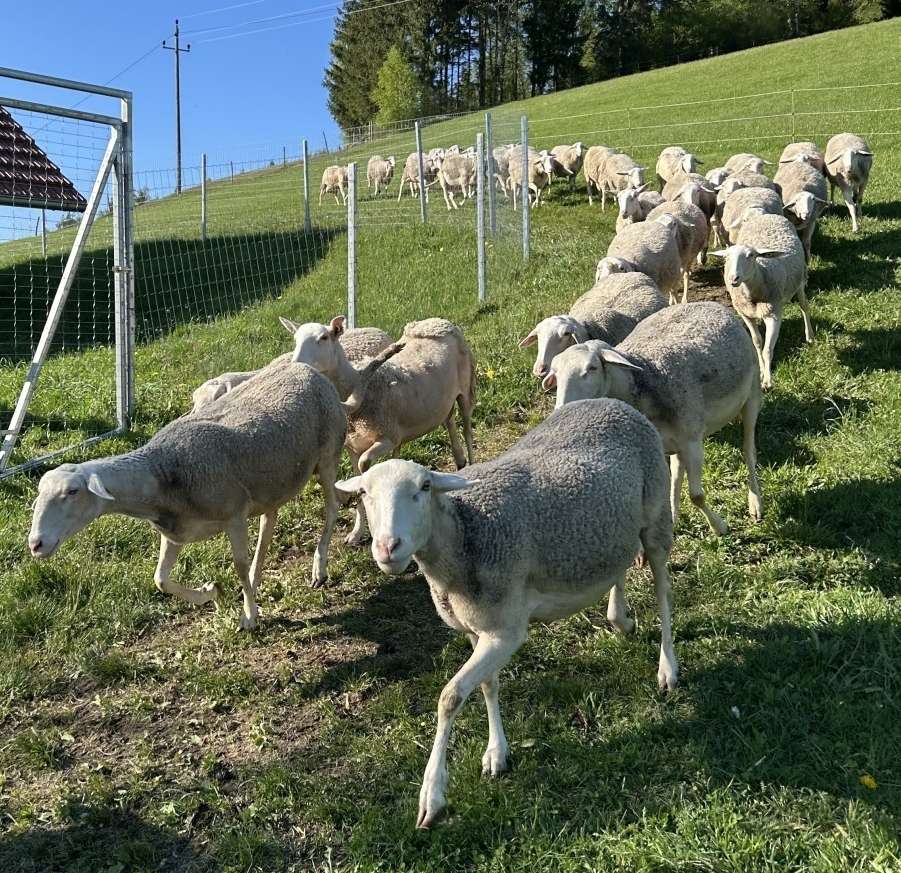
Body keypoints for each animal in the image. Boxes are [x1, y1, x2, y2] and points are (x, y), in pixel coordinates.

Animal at [29, 359, 352, 630]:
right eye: (39, 493)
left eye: (72, 491)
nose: (35, 544)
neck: (163, 473)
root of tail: (307, 369)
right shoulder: (175, 531)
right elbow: (160, 579)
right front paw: (211, 593)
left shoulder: (234, 515)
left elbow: (238, 565)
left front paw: (249, 616)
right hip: (272, 480)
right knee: (268, 522)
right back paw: (257, 580)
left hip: (327, 455)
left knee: (332, 507)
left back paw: (319, 567)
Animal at [335, 398, 677, 828]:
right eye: (364, 492)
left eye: (424, 487)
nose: (387, 548)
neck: (465, 534)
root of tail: (613, 403)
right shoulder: (476, 627)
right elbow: (487, 685)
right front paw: (497, 752)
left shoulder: (506, 630)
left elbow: (449, 697)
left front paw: (432, 794)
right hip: (611, 529)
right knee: (619, 562)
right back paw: (621, 618)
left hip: (656, 514)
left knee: (663, 589)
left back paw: (668, 667)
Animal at [340, 318, 476, 545]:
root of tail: (437, 320)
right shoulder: (352, 447)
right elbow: (358, 476)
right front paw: (357, 532)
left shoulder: (388, 437)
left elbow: (365, 463)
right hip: (442, 400)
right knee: (449, 421)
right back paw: (459, 460)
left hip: (464, 392)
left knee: (466, 428)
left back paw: (472, 464)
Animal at [544, 301, 762, 535]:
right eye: (556, 373)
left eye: (592, 368)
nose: (562, 410)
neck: (644, 379)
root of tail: (710, 303)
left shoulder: (693, 441)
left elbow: (696, 495)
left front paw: (719, 527)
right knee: (677, 471)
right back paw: (673, 517)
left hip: (752, 395)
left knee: (749, 451)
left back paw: (755, 502)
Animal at [712, 213, 811, 389]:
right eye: (726, 257)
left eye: (751, 255)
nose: (733, 279)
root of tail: (767, 215)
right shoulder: (745, 314)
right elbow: (757, 343)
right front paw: (761, 373)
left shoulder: (774, 314)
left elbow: (767, 349)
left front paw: (768, 381)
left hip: (799, 282)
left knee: (804, 306)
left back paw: (810, 336)